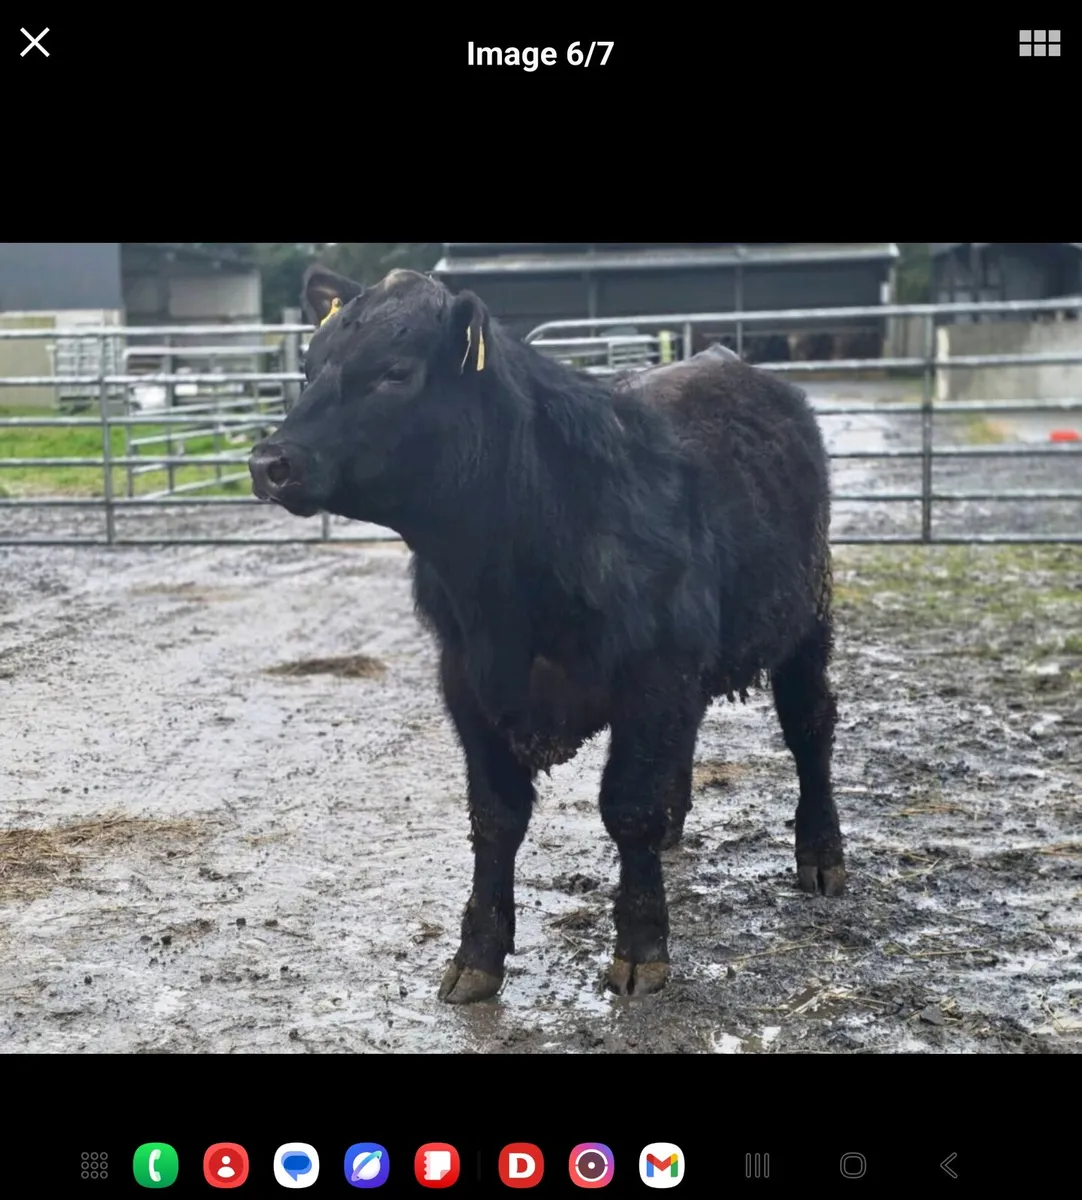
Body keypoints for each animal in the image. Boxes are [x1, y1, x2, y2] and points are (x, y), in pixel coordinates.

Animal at [249, 265, 845, 1005]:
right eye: (309, 367)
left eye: (394, 372)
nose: (269, 463)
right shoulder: (467, 683)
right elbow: (496, 818)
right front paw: (477, 953)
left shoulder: (654, 678)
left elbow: (629, 808)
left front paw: (641, 947)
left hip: (806, 620)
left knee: (810, 727)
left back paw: (821, 855)